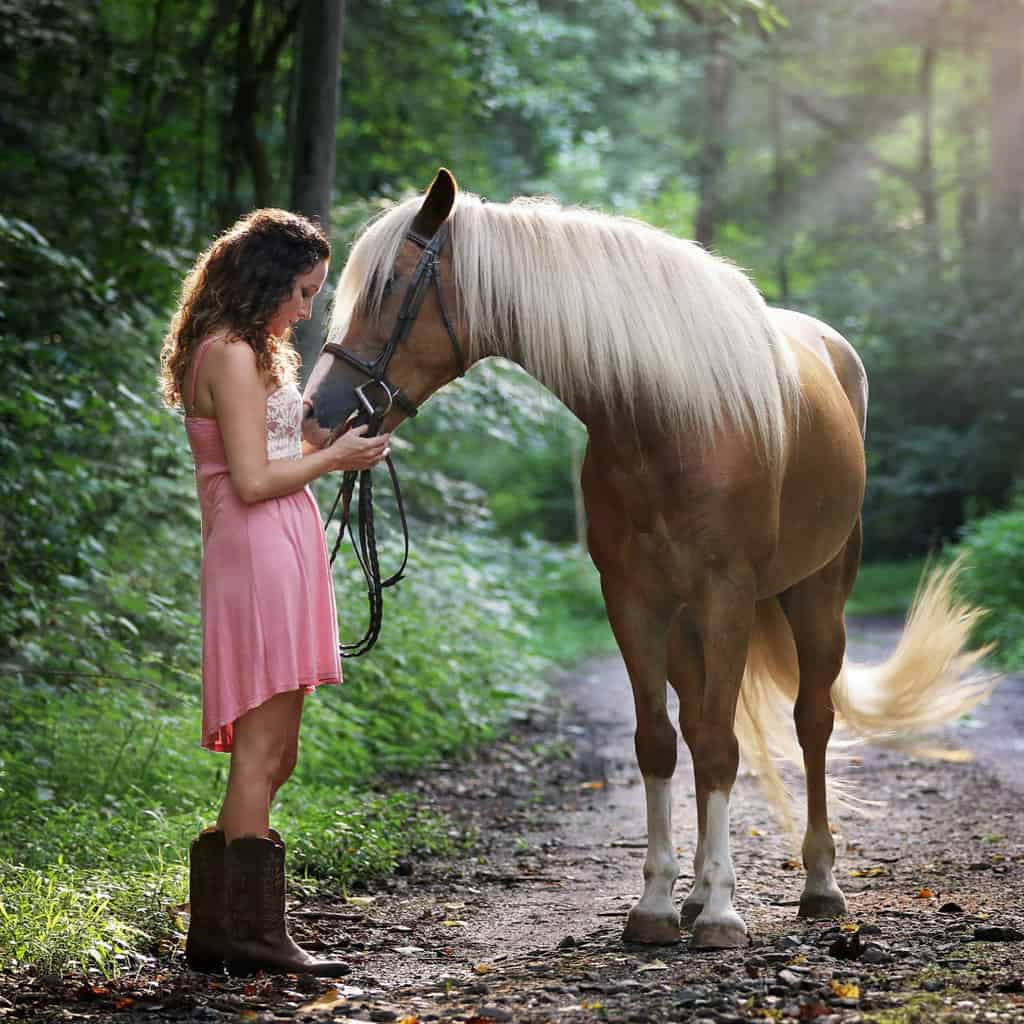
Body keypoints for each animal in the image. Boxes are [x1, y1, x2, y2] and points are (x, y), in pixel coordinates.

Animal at [302, 169, 991, 950]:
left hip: (818, 598)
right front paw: (661, 905)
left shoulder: (726, 597)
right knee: (698, 723)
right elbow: (660, 743)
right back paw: (694, 894)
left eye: (390, 286)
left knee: (811, 722)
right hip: (689, 622)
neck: (668, 421)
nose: (317, 413)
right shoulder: (632, 600)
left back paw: (818, 884)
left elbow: (722, 747)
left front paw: (723, 914)